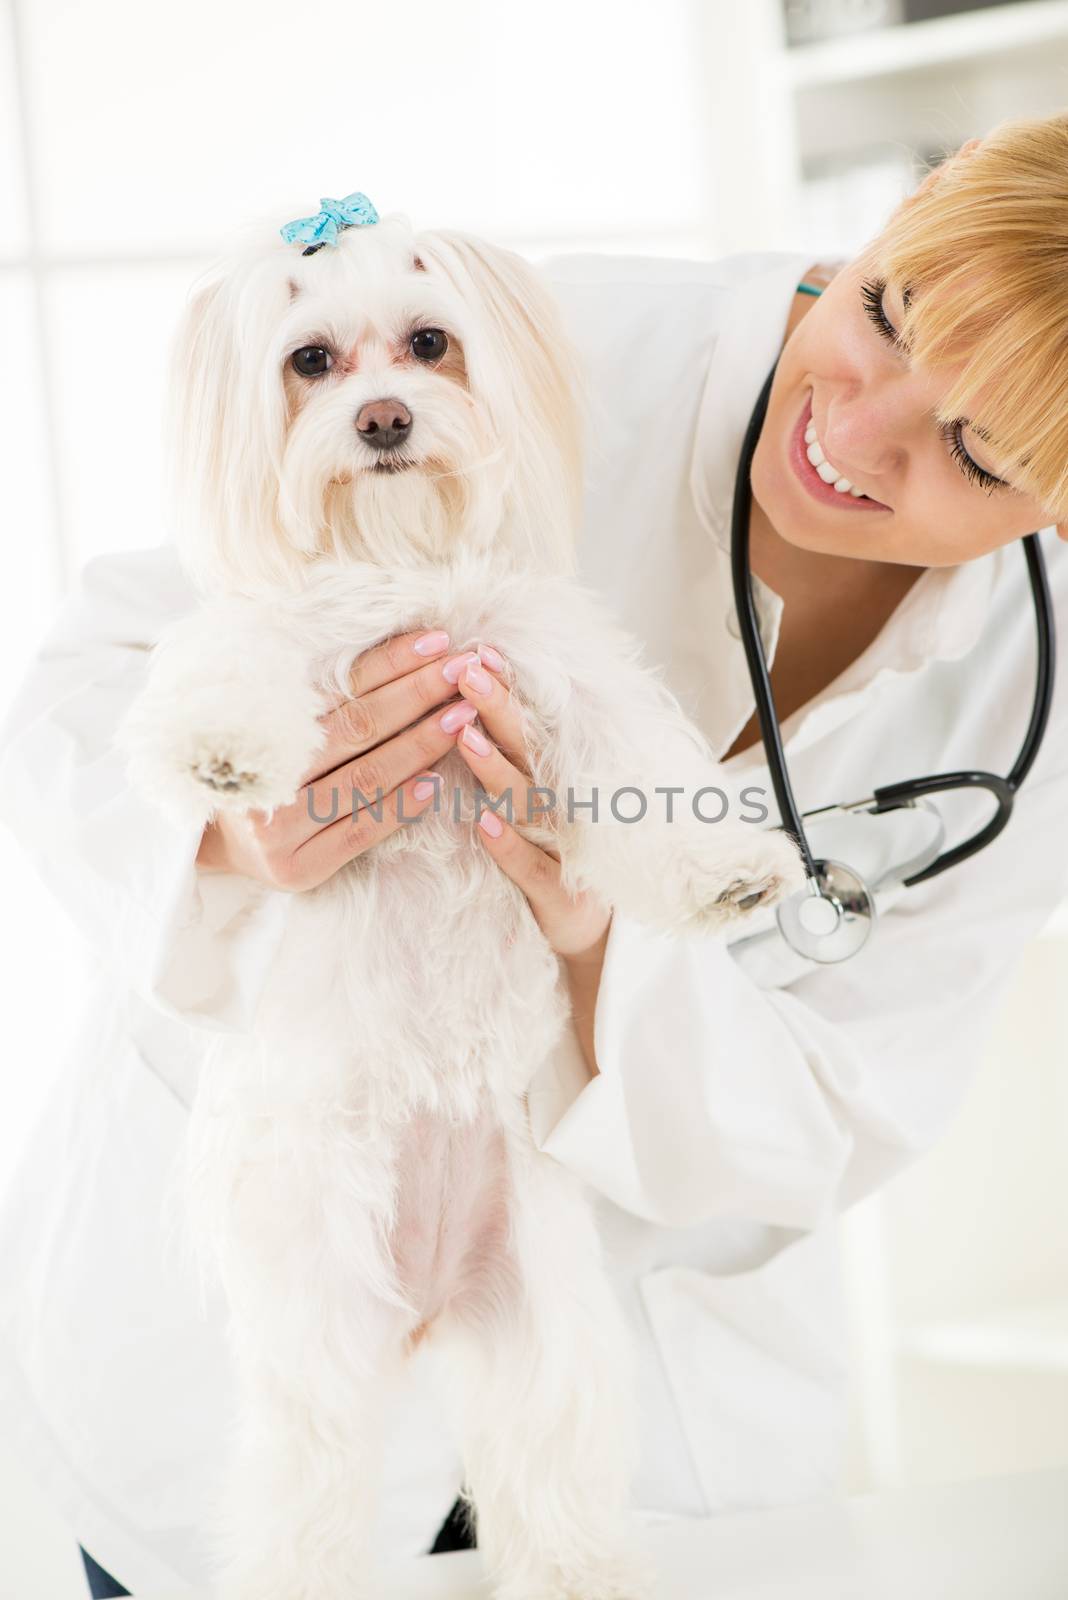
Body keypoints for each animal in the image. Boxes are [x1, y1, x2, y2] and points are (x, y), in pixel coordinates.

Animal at [116, 190, 799, 1600]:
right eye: (311, 361)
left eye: (430, 342)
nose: (384, 418)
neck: (404, 563)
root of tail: (425, 1307)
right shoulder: (291, 635)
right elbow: (230, 663)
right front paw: (225, 755)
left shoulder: (553, 672)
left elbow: (638, 764)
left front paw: (726, 871)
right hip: (318, 1330)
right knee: (305, 1488)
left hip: (547, 1330)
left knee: (551, 1467)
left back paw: (580, 1573)